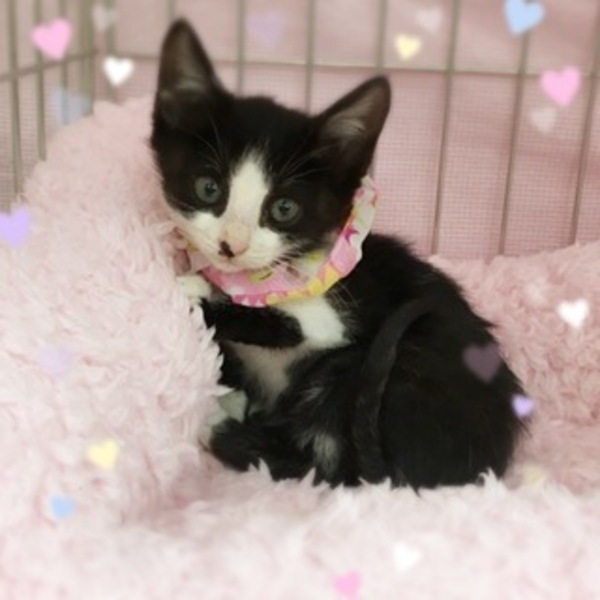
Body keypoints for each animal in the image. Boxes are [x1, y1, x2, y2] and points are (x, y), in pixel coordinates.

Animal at [151, 20, 526, 489]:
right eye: (208, 188)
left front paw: (197, 292)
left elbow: (283, 322)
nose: (230, 245)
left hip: (372, 368)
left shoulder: (338, 313)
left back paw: (221, 423)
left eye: (284, 209)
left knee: (326, 467)